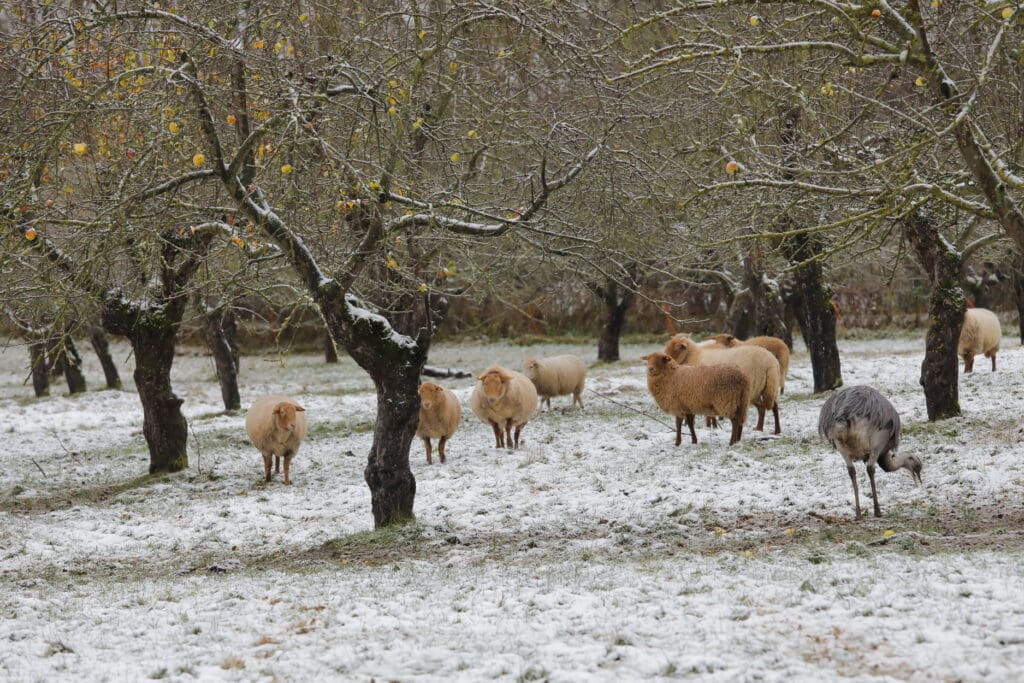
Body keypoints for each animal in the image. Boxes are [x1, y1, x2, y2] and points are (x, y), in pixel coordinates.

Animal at [819, 385, 925, 518]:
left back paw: (858, 513)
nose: (919, 479)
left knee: (851, 471)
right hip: (876, 441)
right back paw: (877, 510)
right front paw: (877, 511)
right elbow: (870, 469)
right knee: (870, 468)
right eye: (917, 466)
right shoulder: (879, 445)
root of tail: (844, 414)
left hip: (840, 447)